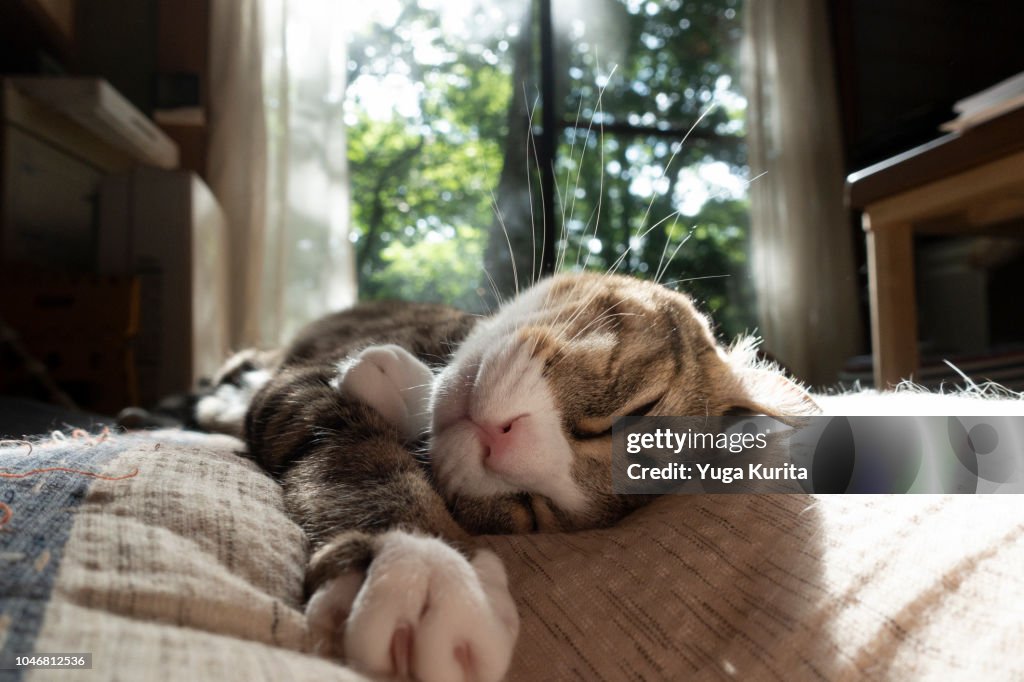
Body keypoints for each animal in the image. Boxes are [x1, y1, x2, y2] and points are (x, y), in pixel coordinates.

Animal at [193, 270, 815, 679]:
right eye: (635, 411)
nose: (500, 439)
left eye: (529, 508)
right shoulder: (301, 383)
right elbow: (354, 446)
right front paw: (419, 560)